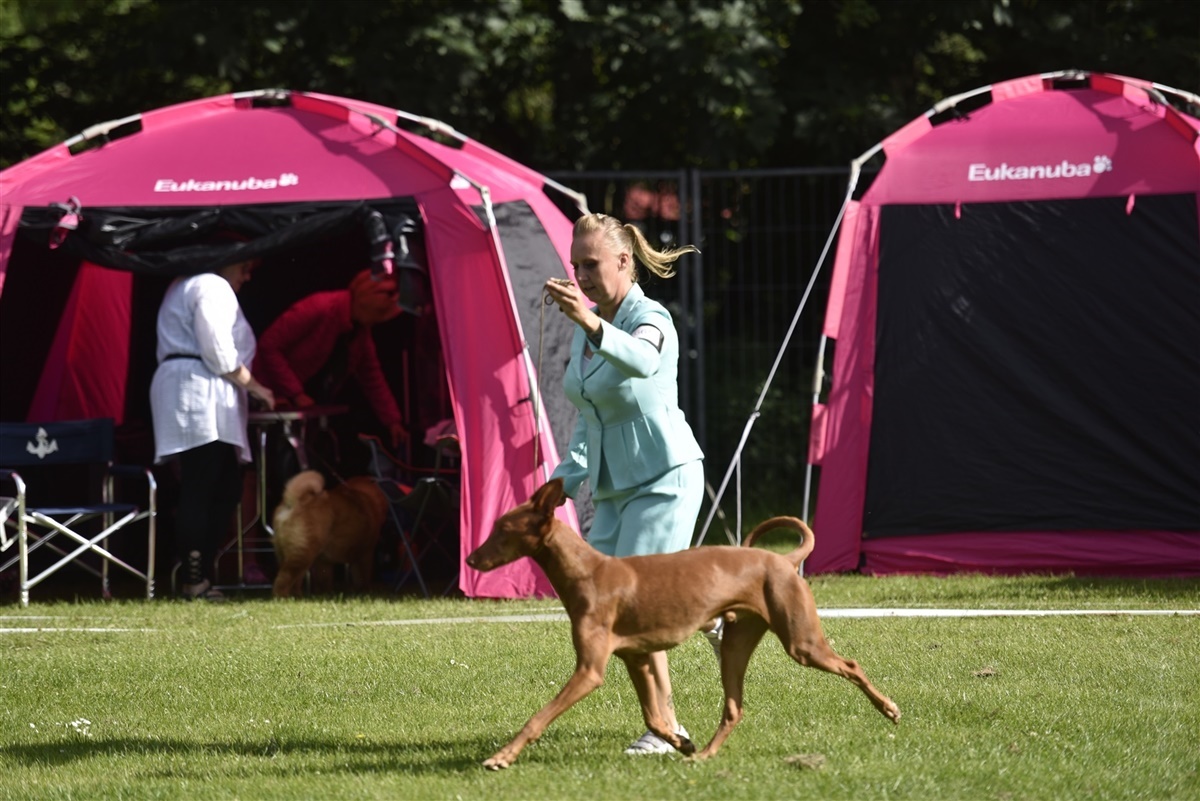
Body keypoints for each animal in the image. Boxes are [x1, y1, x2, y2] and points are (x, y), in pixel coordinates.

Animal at [465, 478, 900, 769]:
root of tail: (783, 559)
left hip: (801, 642)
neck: (588, 572)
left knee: (851, 665)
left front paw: (501, 756)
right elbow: (655, 718)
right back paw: (704, 753)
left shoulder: (590, 670)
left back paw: (890, 709)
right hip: (735, 647)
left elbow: (537, 718)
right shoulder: (636, 659)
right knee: (734, 708)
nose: (470, 559)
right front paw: (681, 743)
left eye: (502, 529)